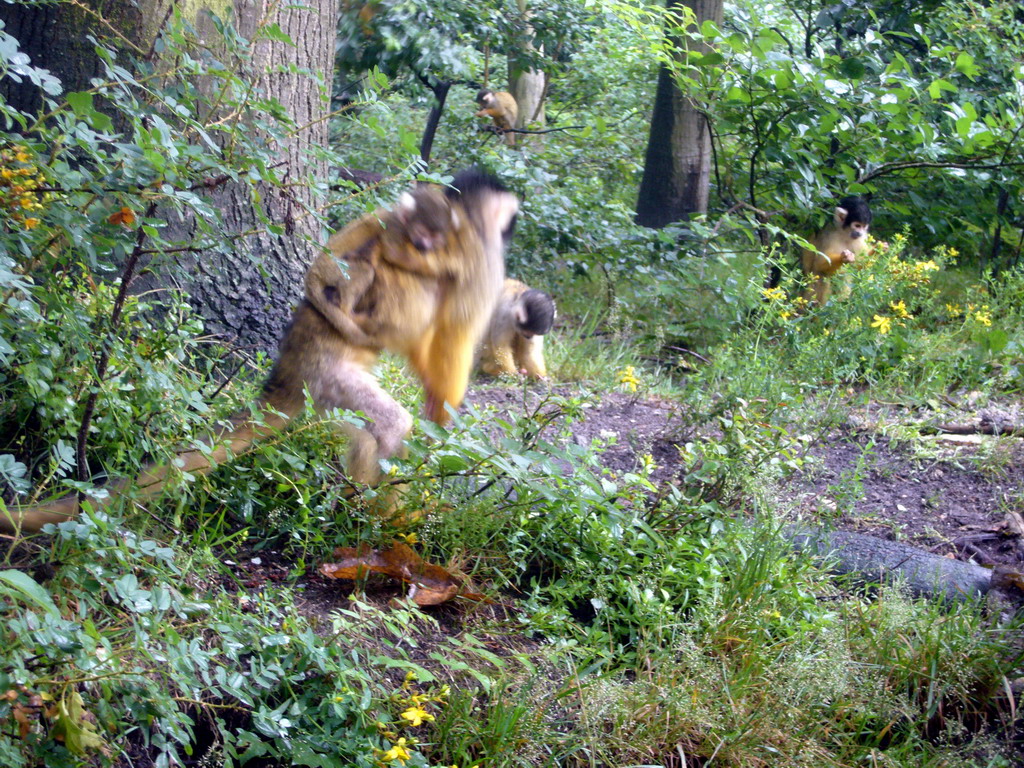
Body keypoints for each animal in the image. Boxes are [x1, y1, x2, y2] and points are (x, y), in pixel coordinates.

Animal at [0, 171, 516, 536]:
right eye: (422, 231)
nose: (423, 242)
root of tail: (284, 374)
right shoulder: (474, 254)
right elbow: (453, 332)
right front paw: (440, 414)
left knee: (361, 429)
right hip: (327, 374)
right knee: (385, 411)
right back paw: (382, 511)